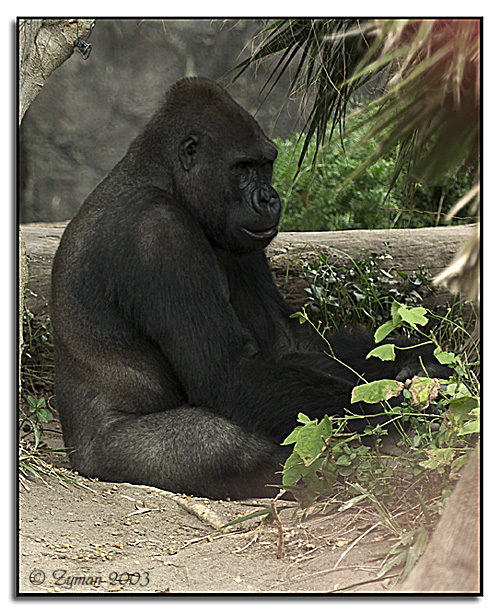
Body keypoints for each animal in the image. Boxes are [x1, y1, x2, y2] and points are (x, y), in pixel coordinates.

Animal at [50, 76, 448, 500]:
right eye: (242, 167)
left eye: (265, 165)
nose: (269, 198)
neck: (164, 180)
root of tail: (74, 454)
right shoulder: (159, 232)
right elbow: (229, 372)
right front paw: (397, 416)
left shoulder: (241, 239)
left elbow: (287, 343)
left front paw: (423, 361)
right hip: (109, 460)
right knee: (226, 445)